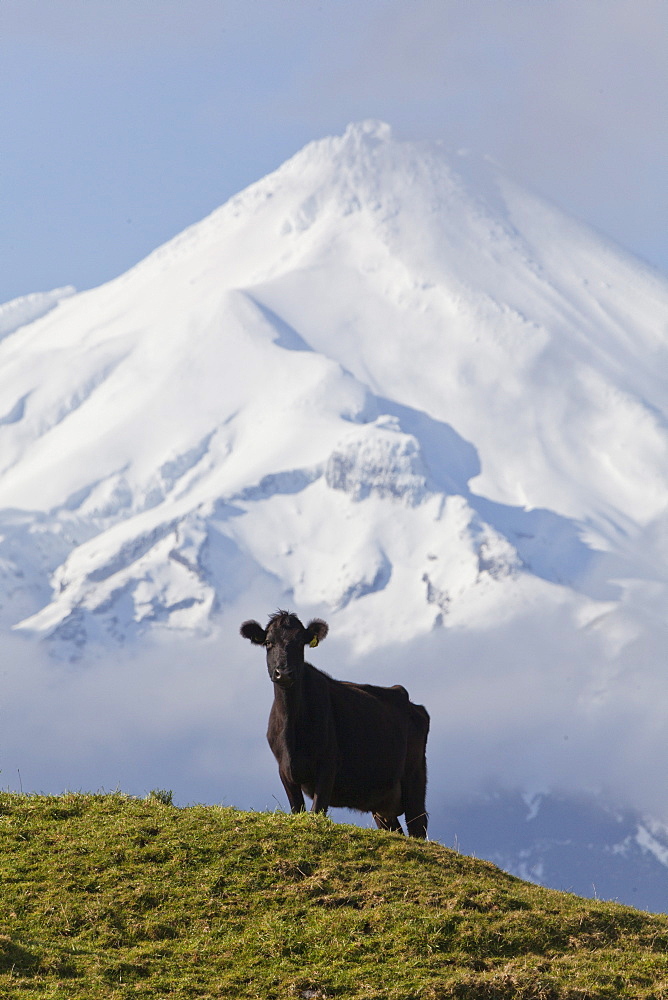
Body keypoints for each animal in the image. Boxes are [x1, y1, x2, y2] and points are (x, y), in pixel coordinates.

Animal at [239, 608, 428, 836]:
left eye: (300, 642)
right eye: (268, 642)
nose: (283, 672)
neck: (292, 729)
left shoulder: (328, 764)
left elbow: (317, 810)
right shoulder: (284, 769)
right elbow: (297, 809)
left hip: (414, 779)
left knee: (418, 826)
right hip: (382, 801)